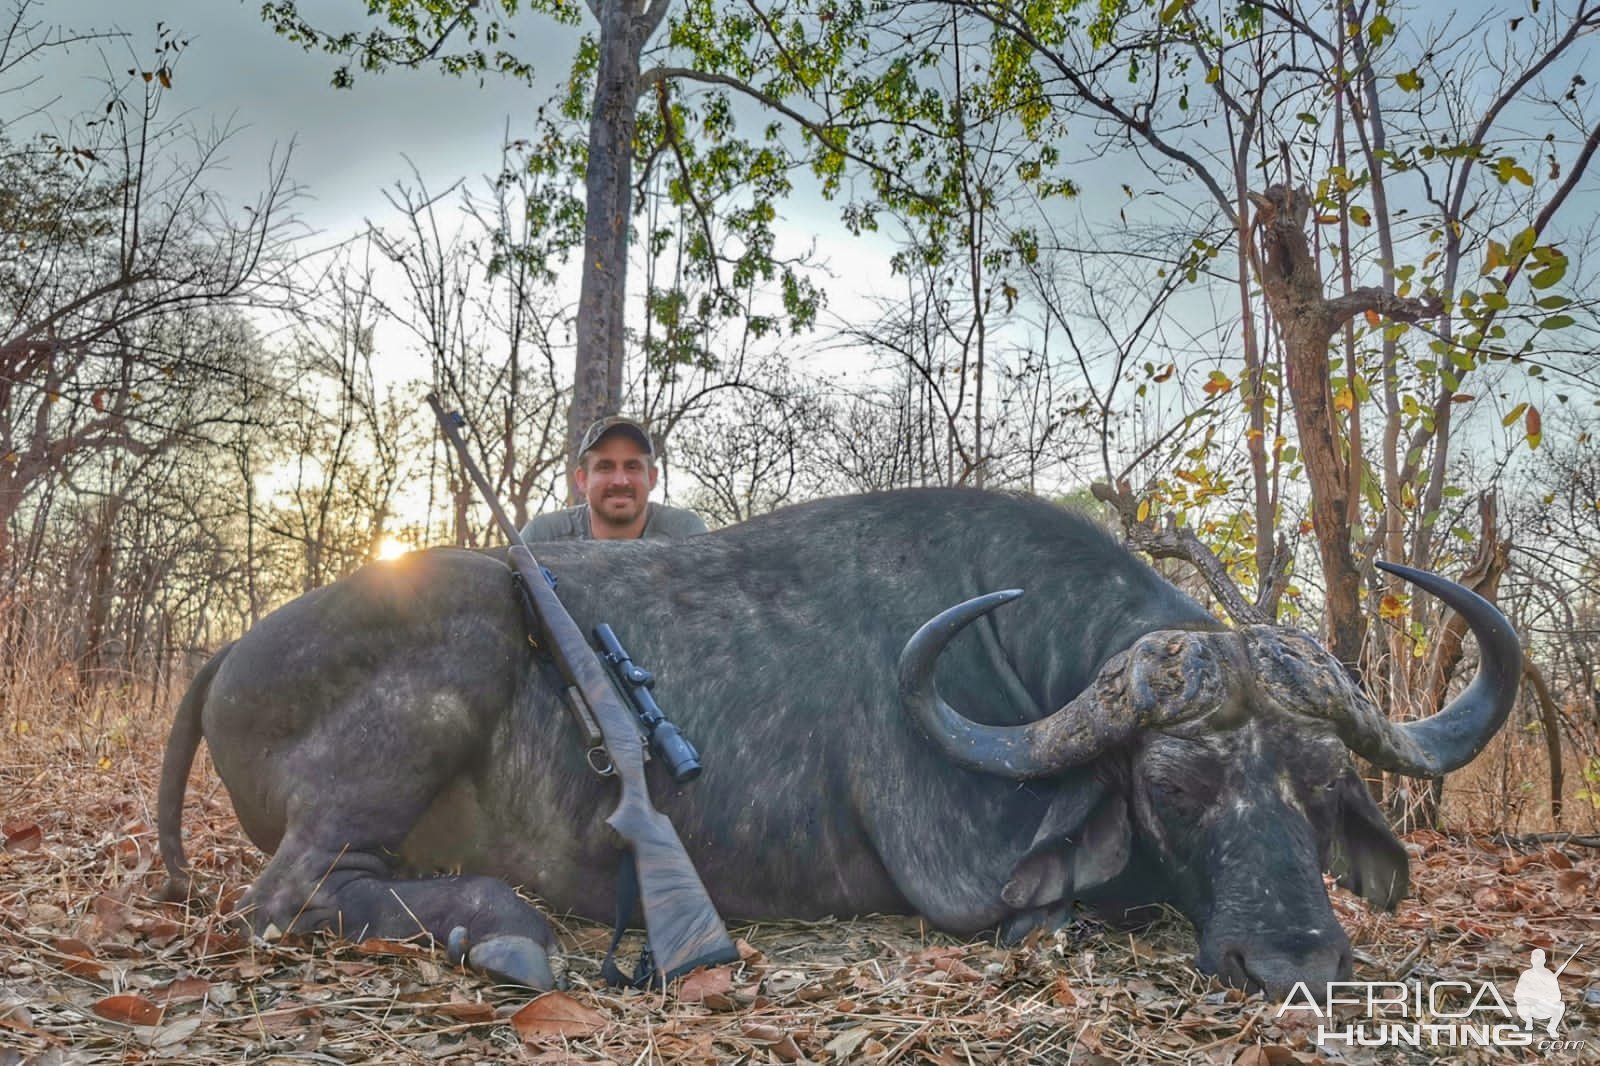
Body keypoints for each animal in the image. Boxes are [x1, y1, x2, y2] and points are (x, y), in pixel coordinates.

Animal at [156, 486, 1516, 998]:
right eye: (1177, 787)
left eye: (1318, 785)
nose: (1294, 958)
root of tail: (233, 650)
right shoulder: (963, 881)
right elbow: (1062, 904)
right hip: (443, 689)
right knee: (288, 897)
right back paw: (508, 930)